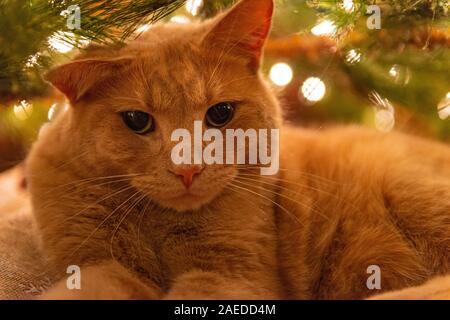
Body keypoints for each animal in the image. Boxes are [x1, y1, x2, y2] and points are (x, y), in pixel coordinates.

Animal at [28, 0, 450, 300]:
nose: (188, 170)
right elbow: (94, 285)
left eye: (221, 113)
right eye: (137, 120)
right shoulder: (97, 263)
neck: (158, 222)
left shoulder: (232, 275)